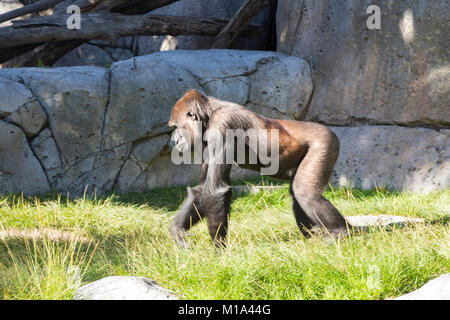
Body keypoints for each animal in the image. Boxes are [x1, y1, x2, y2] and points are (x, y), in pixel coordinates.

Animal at [168, 90, 352, 248]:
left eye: (175, 127)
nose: (175, 141)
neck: (210, 113)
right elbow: (201, 190)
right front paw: (178, 231)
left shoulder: (222, 125)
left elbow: (214, 189)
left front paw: (219, 251)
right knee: (297, 192)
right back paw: (311, 236)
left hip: (325, 142)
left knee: (305, 192)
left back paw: (339, 232)